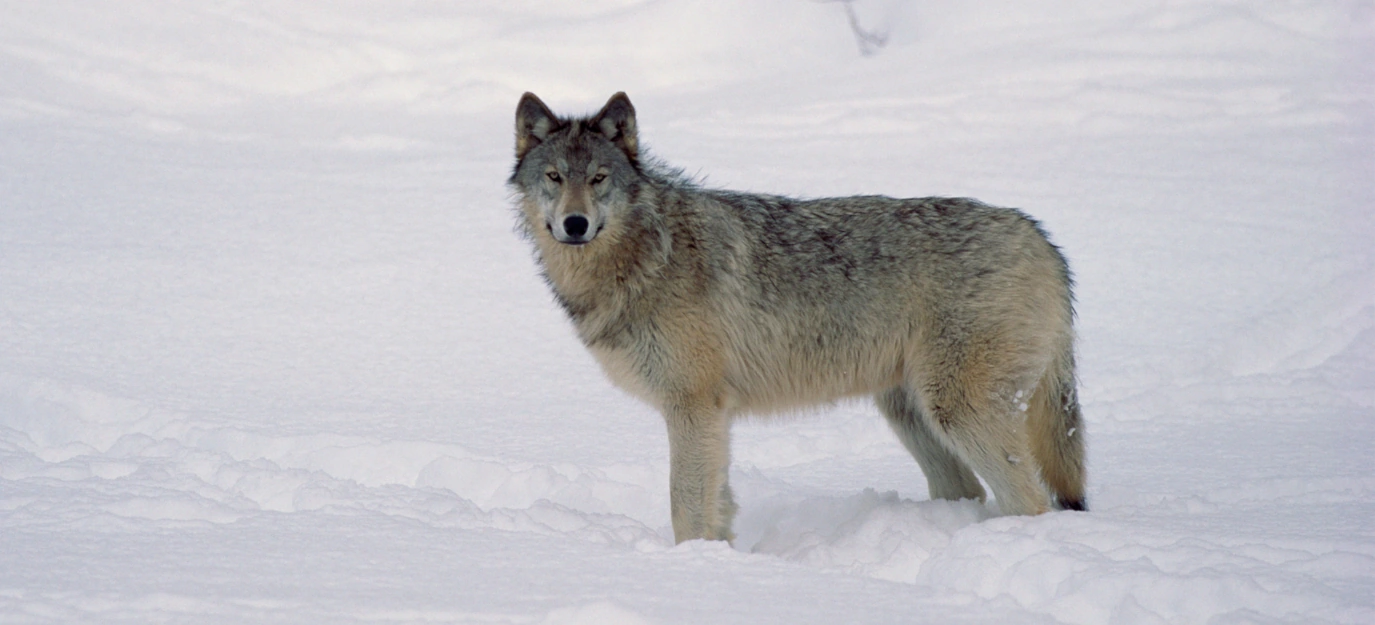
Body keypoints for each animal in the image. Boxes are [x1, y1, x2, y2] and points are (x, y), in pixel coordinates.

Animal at [508, 92, 1087, 543]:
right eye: (554, 177)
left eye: (599, 178)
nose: (575, 224)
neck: (646, 255)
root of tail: (1040, 237)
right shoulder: (714, 416)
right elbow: (716, 507)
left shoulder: (693, 407)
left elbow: (686, 507)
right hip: (911, 412)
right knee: (966, 491)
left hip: (955, 411)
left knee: (1031, 502)